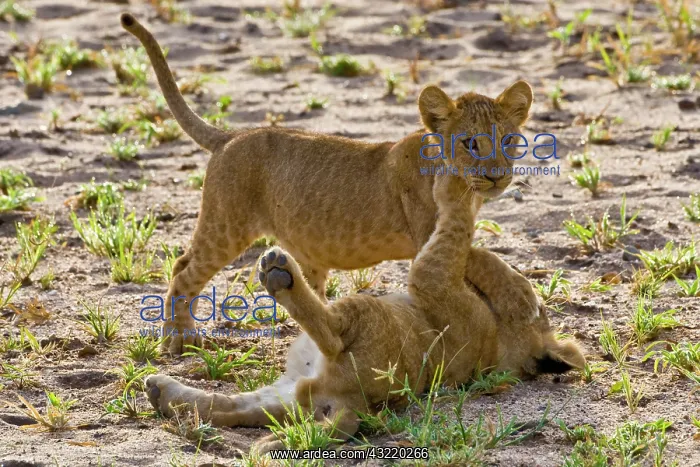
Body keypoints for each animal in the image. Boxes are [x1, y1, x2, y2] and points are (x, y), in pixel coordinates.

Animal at [120, 13, 536, 355]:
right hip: (225, 225)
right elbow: (481, 257)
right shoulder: (425, 235)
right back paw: (179, 338)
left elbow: (479, 256)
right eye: (469, 143)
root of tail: (231, 136)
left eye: (508, 140)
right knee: (183, 267)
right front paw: (522, 296)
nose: (497, 176)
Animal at [144, 168, 586, 454]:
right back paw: (163, 392)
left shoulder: (432, 275)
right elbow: (471, 245)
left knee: (330, 328)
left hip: (357, 317)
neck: (501, 344)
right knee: (231, 407)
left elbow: (456, 226)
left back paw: (279, 273)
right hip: (285, 397)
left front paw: (455, 186)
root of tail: (353, 404)